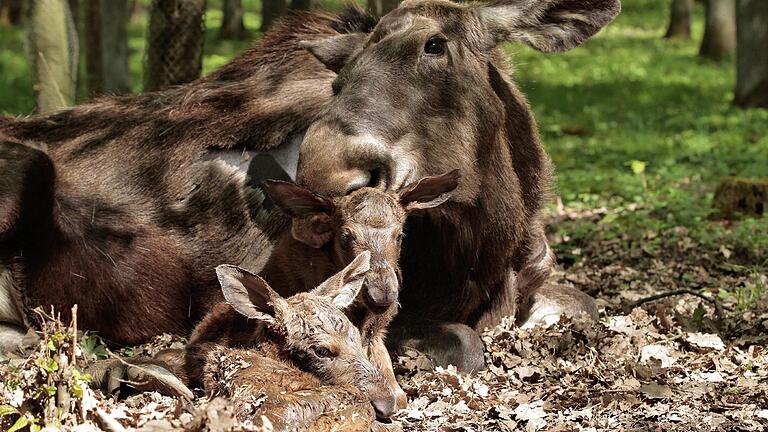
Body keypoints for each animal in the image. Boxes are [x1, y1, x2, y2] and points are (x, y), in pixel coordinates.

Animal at [0, 0, 616, 376]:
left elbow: (584, 305)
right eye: (340, 80)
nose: (325, 173)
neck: (489, 238)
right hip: (25, 169)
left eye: (435, 46)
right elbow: (466, 342)